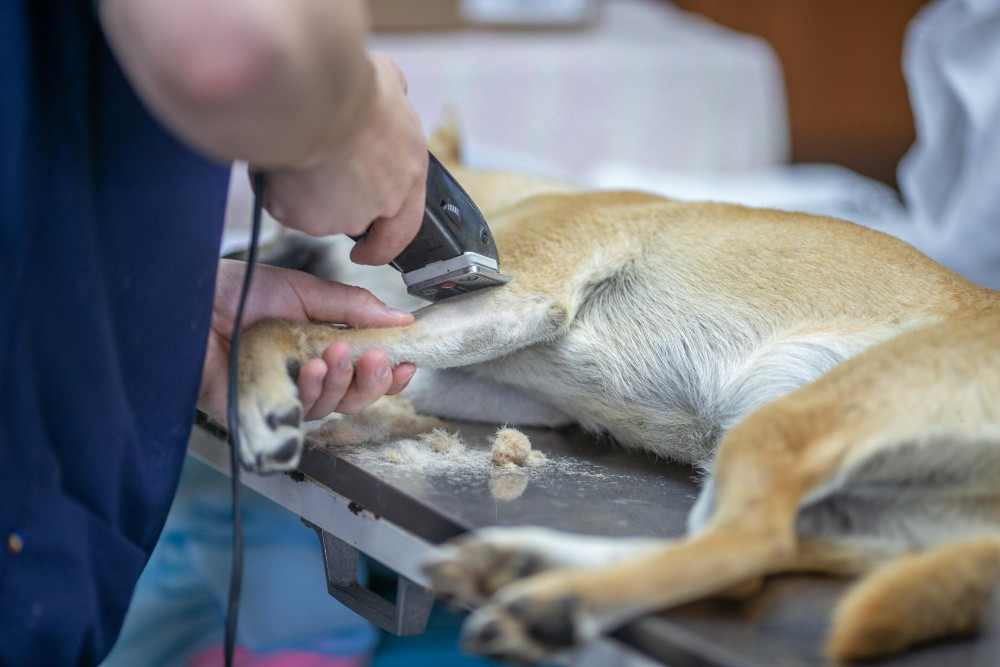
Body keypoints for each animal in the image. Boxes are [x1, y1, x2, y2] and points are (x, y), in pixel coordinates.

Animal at [236, 125, 1000, 664]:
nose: (233, 258)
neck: (514, 196)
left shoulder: (517, 299)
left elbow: (277, 325)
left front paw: (256, 390)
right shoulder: (502, 383)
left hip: (786, 422)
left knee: (744, 547)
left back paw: (552, 602)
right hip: (851, 510)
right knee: (745, 562)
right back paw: (527, 570)